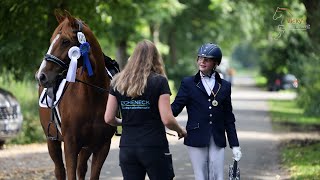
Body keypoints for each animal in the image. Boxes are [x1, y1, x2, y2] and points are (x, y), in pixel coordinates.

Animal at [35, 10, 115, 179]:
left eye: (65, 41)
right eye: (51, 40)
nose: (41, 76)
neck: (92, 96)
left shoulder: (102, 146)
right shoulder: (71, 145)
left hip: (86, 147)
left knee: (81, 168)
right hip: (52, 141)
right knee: (59, 170)